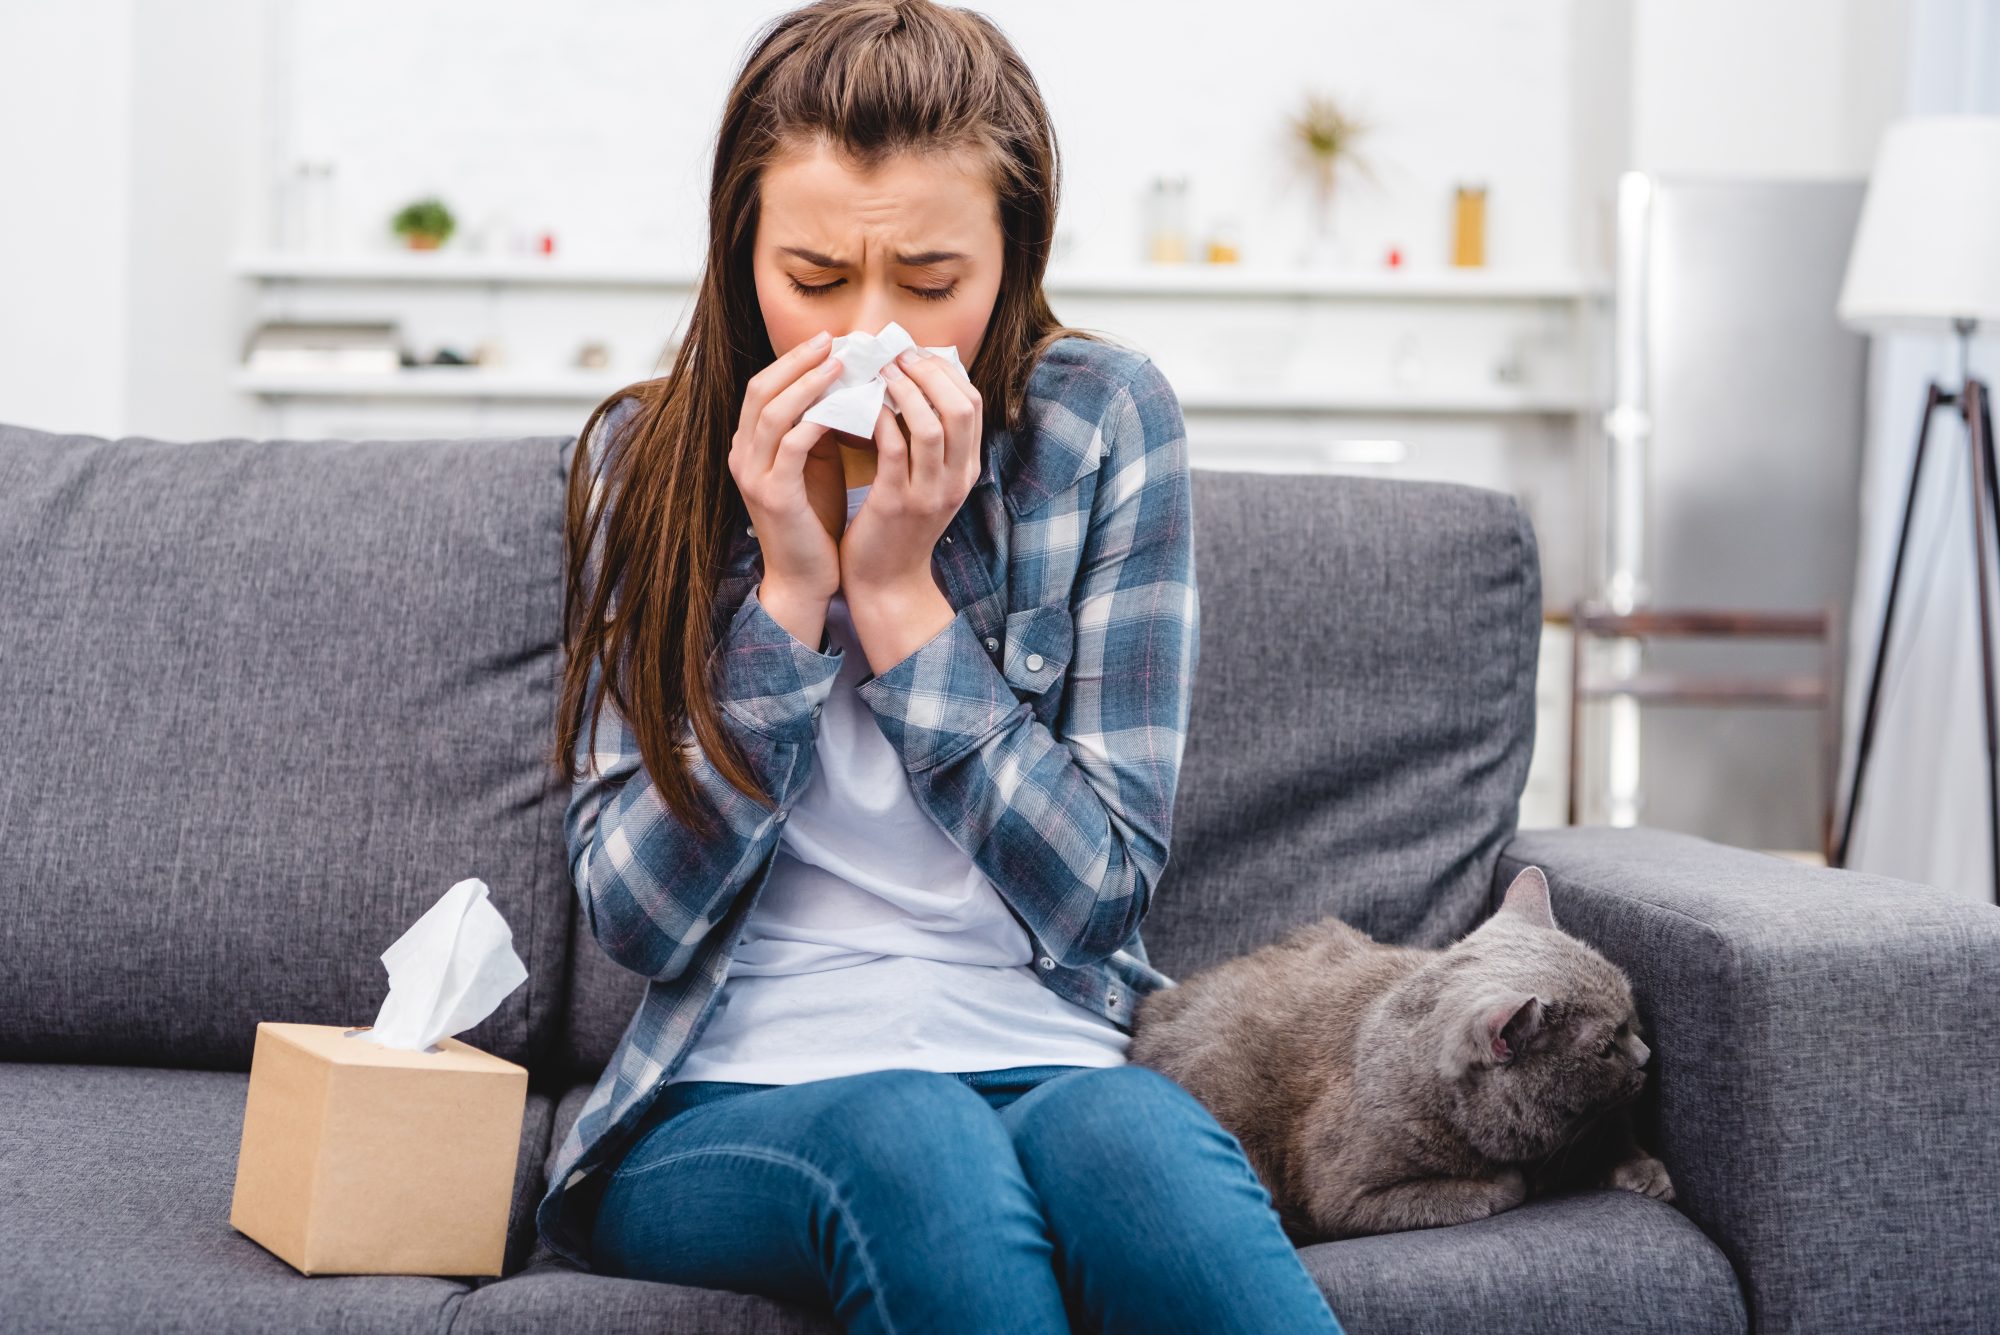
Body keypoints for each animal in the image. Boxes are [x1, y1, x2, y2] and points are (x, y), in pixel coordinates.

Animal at [1128, 867, 1672, 1239]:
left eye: (1631, 1017)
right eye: (1606, 1048)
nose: (1646, 1055)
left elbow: (1610, 1132)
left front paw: (1645, 1173)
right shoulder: (1347, 1199)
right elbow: (1491, 1188)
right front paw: (1516, 1179)